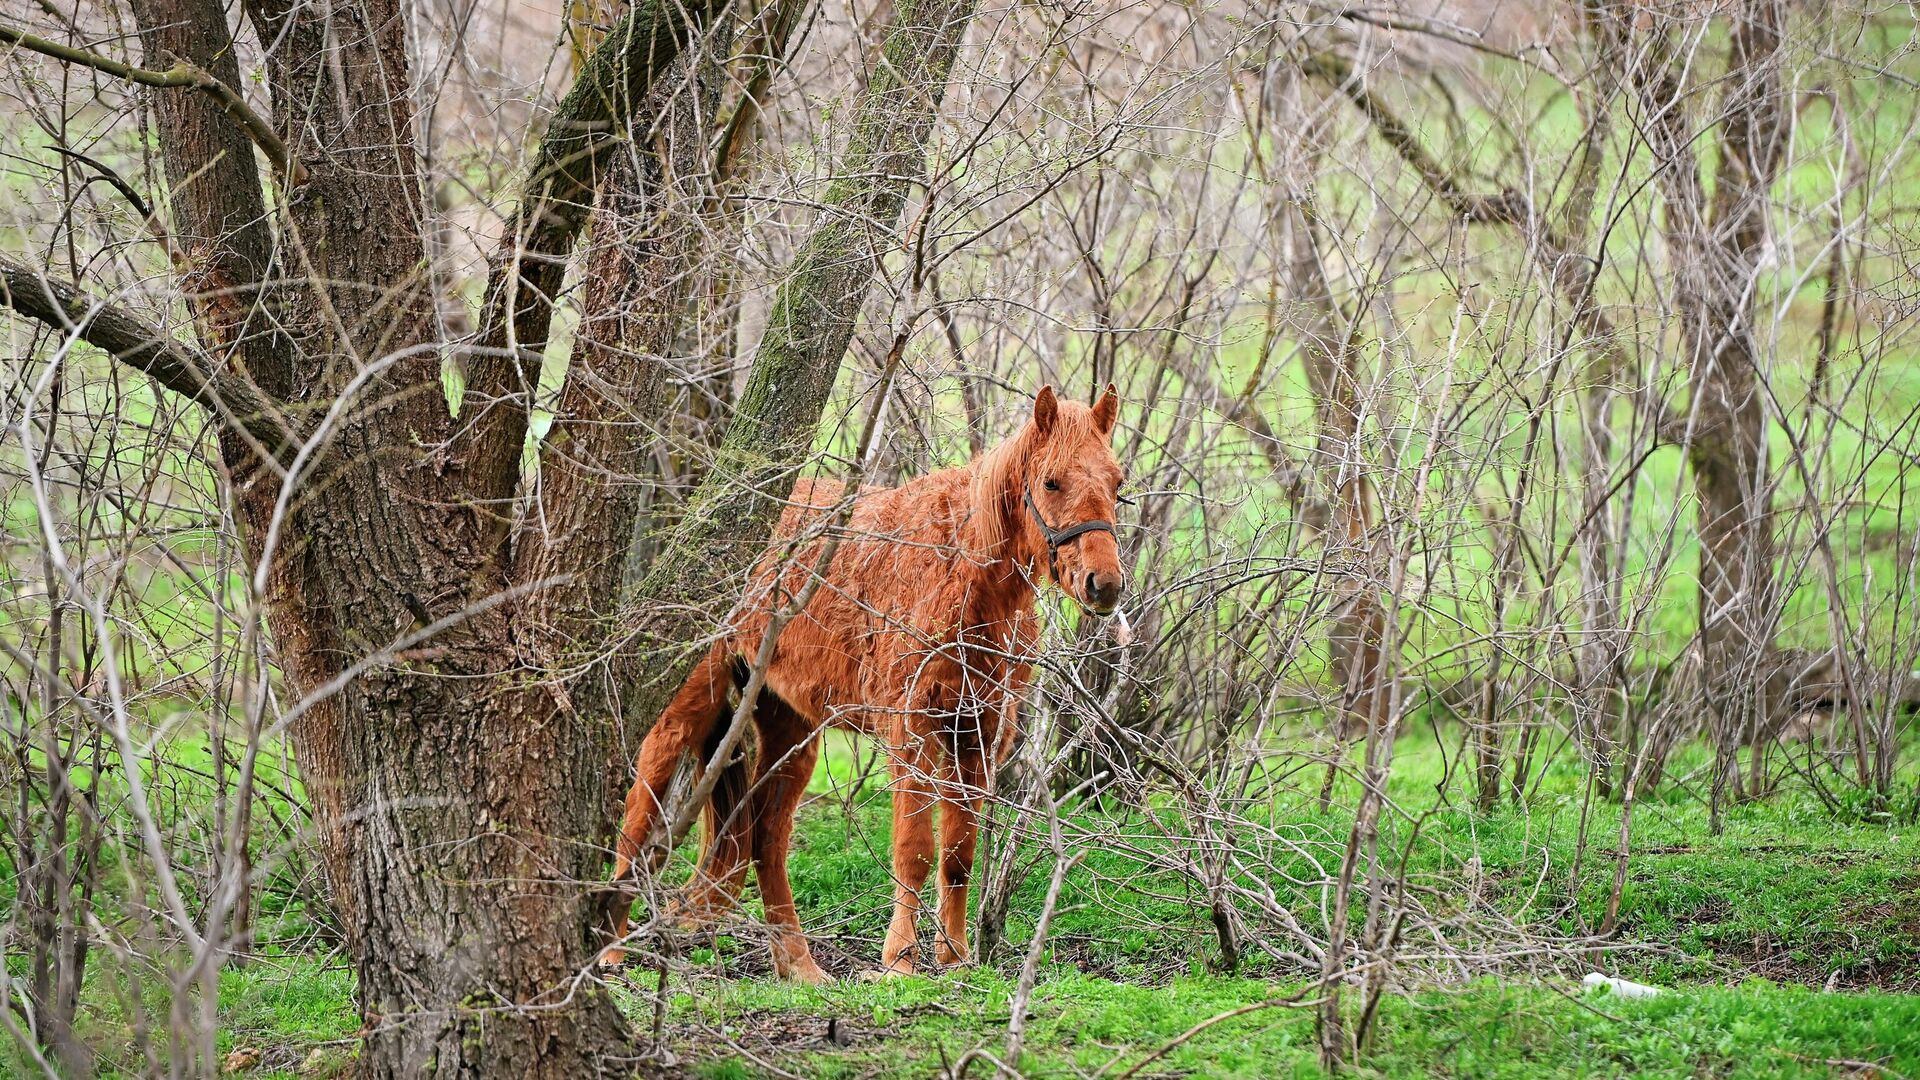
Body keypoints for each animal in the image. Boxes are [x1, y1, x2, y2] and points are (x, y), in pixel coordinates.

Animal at [606, 384, 1128, 976]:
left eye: (1117, 483)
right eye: (1051, 481)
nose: (1104, 584)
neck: (959, 567)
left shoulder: (977, 730)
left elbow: (959, 854)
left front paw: (954, 958)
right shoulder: (910, 729)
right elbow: (915, 850)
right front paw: (900, 959)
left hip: (790, 727)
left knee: (765, 837)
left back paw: (800, 967)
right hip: (691, 701)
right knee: (641, 809)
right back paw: (610, 948)